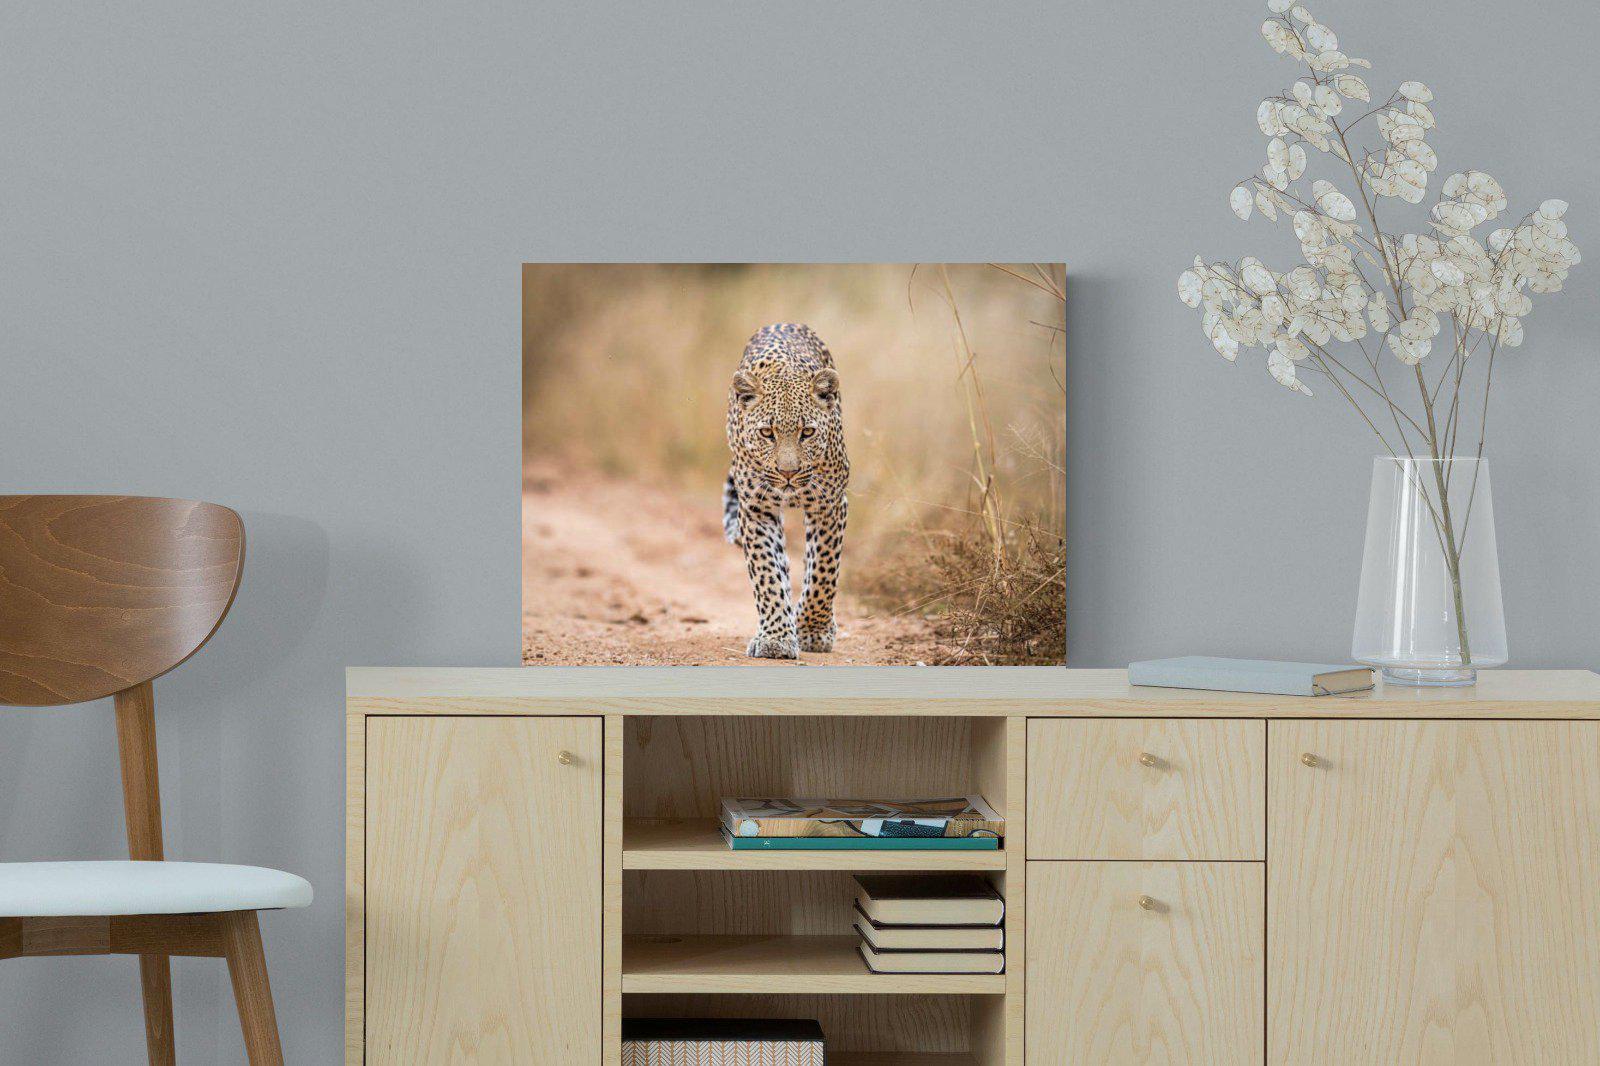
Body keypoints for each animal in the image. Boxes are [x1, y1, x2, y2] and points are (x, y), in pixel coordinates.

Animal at [722, 322, 849, 659]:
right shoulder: (756, 509)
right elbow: (766, 572)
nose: (788, 472)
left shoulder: (830, 504)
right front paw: (776, 638)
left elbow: (823, 571)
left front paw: (813, 631)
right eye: (768, 433)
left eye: (808, 432)